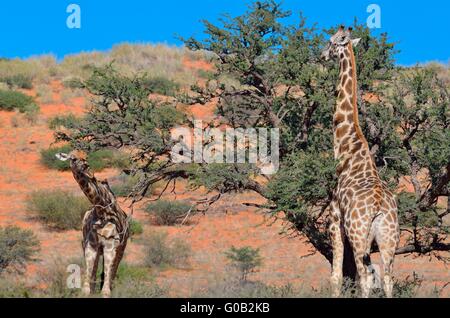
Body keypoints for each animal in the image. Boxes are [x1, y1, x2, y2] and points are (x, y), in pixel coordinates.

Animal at [55, 150, 130, 296]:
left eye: (86, 156)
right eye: (73, 158)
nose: (85, 166)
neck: (101, 210)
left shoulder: (111, 244)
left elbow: (107, 280)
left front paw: (106, 291)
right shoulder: (90, 245)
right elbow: (88, 278)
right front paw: (88, 290)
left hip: (121, 248)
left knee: (113, 270)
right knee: (96, 269)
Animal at [322, 27, 400, 298]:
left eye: (331, 42)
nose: (322, 55)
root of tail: (378, 206)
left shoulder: (335, 220)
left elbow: (336, 277)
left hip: (358, 234)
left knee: (366, 277)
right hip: (388, 237)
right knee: (387, 278)